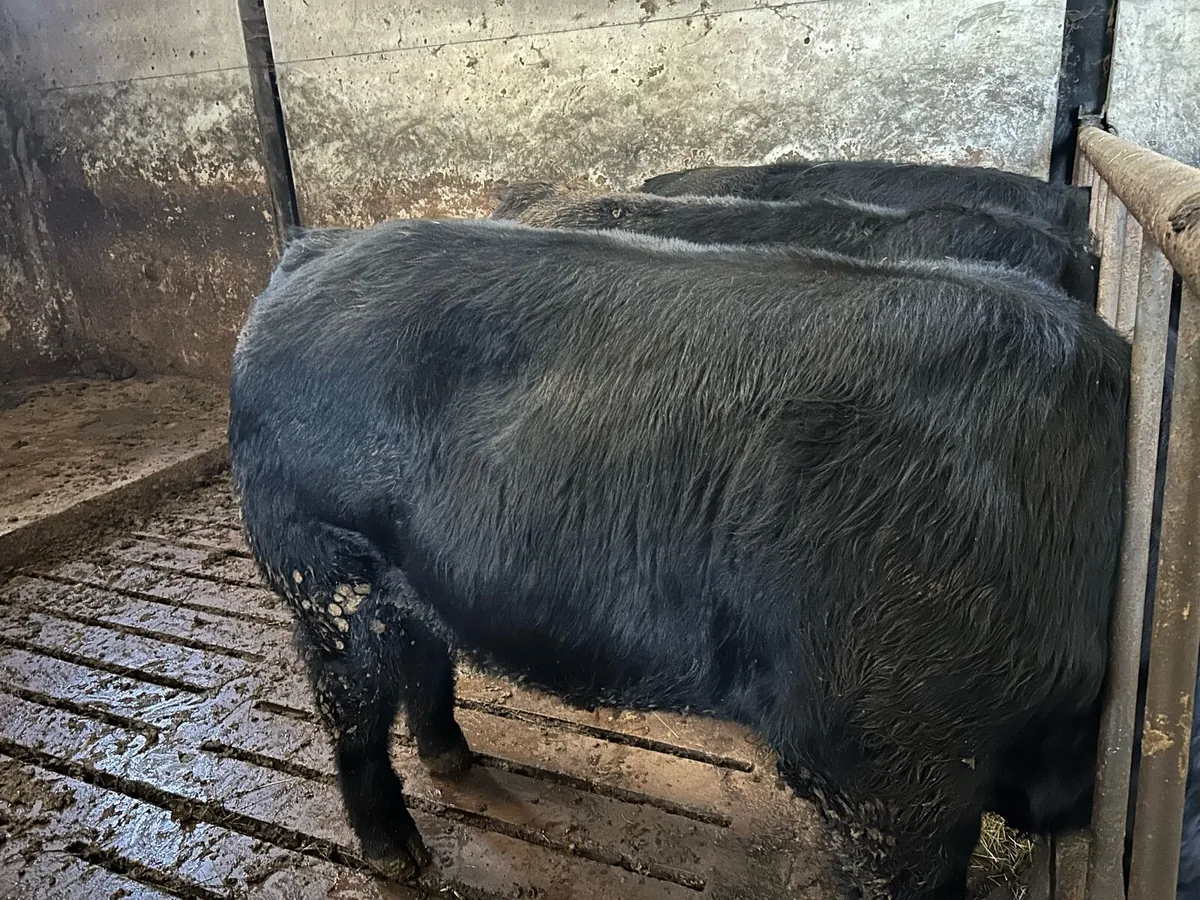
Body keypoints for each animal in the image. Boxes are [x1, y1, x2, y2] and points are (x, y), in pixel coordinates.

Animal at [228, 217, 1129, 900]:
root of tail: (309, 253)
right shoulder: (882, 753)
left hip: (402, 580)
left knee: (421, 657)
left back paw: (455, 757)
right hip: (320, 565)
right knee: (349, 704)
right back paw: (401, 858)